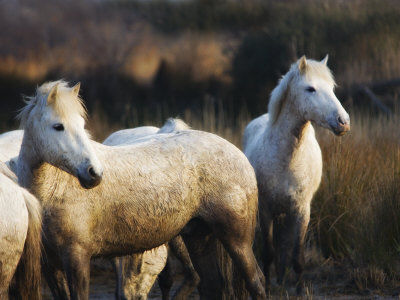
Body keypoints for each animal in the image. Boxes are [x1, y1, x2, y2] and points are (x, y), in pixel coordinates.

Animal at [16, 80, 266, 300]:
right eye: (58, 126)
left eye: (82, 125)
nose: (94, 173)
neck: (55, 190)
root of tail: (239, 154)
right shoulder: (51, 265)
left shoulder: (77, 257)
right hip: (199, 237)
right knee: (211, 286)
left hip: (236, 239)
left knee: (256, 281)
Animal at [241, 55, 350, 292]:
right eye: (310, 89)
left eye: (332, 88)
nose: (343, 122)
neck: (287, 161)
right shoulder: (265, 210)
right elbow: (268, 254)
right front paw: (269, 289)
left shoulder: (302, 211)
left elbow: (297, 257)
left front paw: (300, 292)